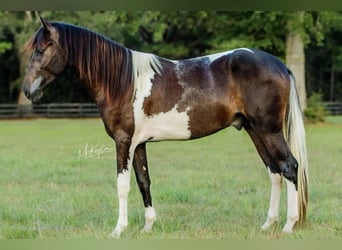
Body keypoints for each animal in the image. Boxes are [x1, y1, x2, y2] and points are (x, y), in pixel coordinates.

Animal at [22, 16, 308, 237]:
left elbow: (122, 185)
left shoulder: (123, 141)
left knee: (290, 167)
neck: (122, 80)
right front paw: (147, 226)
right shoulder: (138, 144)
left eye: (40, 50)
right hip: (255, 130)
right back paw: (268, 224)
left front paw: (118, 230)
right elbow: (143, 181)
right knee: (274, 172)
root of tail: (280, 65)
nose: (27, 90)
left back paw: (289, 225)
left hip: (269, 131)